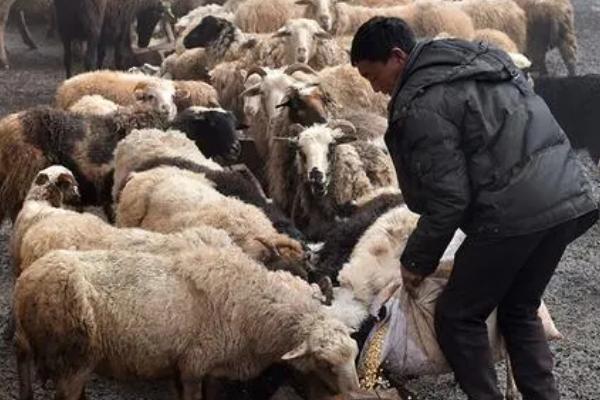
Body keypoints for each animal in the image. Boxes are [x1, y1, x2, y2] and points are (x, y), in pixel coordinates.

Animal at [14, 247, 360, 400]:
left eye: (354, 354)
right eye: (325, 363)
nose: (355, 394)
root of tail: (24, 285)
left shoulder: (192, 368)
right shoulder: (195, 365)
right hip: (73, 358)